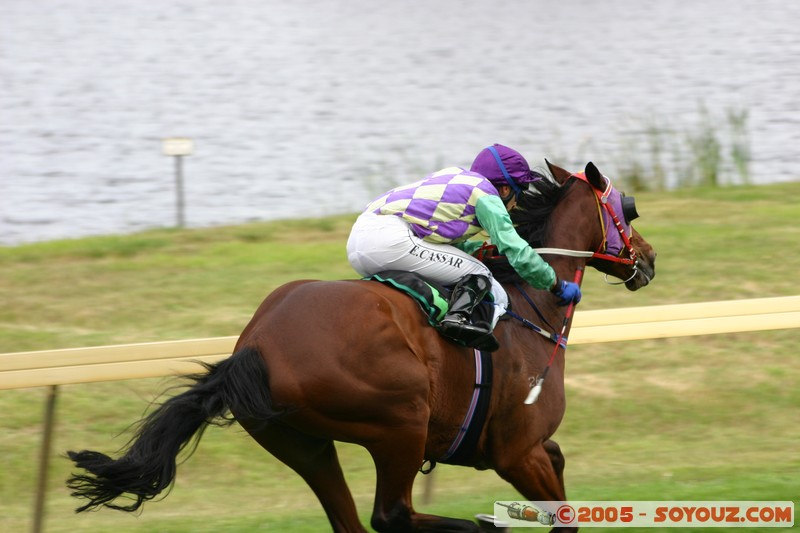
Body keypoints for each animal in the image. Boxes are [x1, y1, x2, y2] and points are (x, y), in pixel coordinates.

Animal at [67, 160, 656, 532]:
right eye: (625, 208)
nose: (648, 258)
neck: (527, 305)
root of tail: (253, 349)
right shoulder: (515, 451)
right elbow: (562, 515)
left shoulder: (531, 449)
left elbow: (560, 465)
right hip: (400, 421)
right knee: (390, 515)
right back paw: (479, 526)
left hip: (302, 443)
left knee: (351, 521)